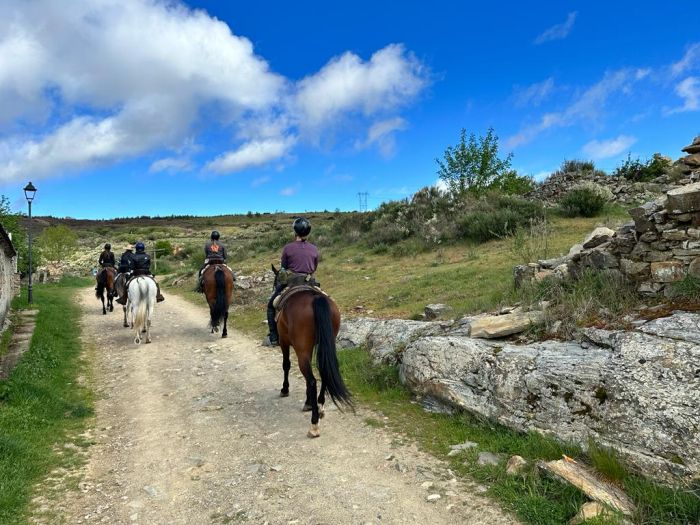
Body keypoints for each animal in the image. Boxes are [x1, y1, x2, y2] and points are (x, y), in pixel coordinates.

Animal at [270, 262, 352, 438]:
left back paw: (314, 425)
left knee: (312, 380)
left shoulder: (284, 342)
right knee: (323, 374)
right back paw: (320, 408)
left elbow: (286, 365)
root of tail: (316, 298)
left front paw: (285, 389)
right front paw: (309, 403)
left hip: (301, 350)